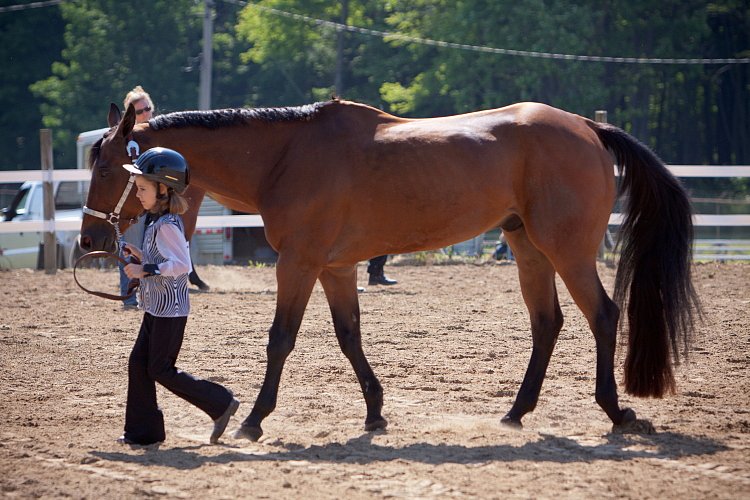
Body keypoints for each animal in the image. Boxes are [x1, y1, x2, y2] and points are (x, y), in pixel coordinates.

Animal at [79, 96, 704, 438]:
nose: (90, 238)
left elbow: (281, 339)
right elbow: (349, 337)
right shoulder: (334, 268)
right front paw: (375, 413)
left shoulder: (299, 263)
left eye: (108, 167)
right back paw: (515, 412)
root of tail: (587, 127)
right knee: (547, 323)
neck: (286, 155)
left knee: (603, 315)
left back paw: (615, 412)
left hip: (566, 249)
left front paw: (254, 419)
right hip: (527, 247)